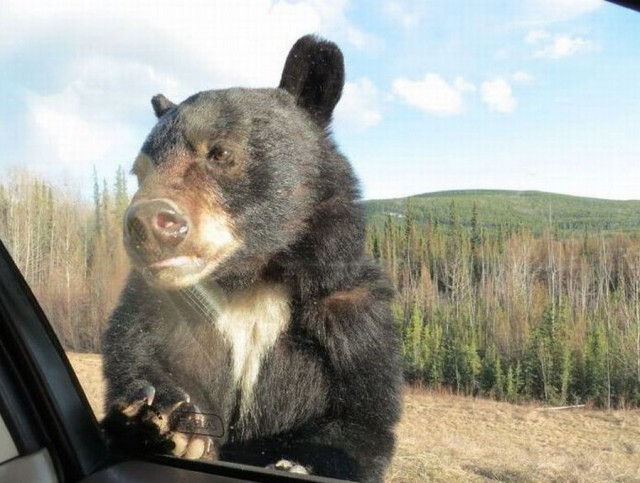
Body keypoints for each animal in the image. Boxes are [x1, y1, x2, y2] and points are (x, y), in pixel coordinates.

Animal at [102, 35, 402, 483]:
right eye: (139, 171)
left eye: (220, 153)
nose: (149, 224)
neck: (251, 278)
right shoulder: (155, 304)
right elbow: (136, 352)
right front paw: (166, 417)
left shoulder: (349, 314)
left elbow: (361, 417)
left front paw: (296, 462)